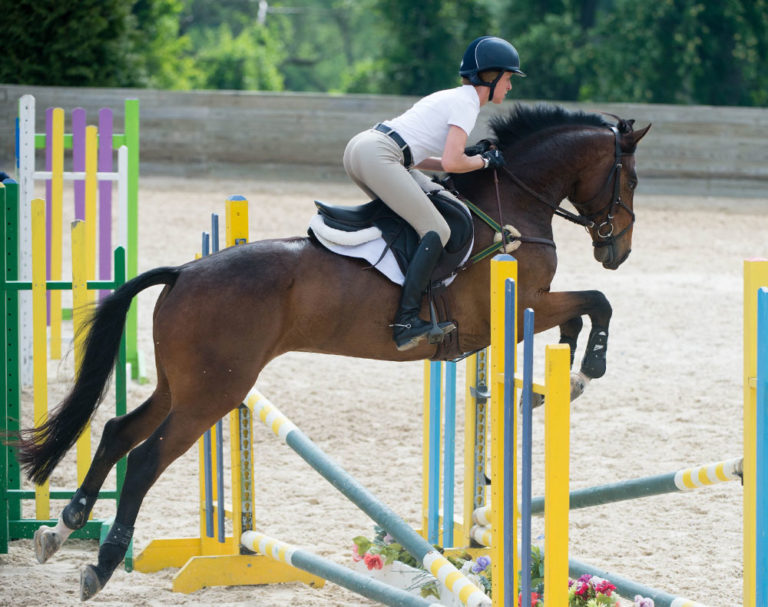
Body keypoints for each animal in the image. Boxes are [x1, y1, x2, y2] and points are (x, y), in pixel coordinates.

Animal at [16, 103, 650, 600]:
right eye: (633, 179)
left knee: (118, 431)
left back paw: (61, 529)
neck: (512, 205)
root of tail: (183, 273)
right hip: (215, 391)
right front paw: (587, 368)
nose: (617, 250)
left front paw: (562, 380)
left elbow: (584, 309)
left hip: (185, 384)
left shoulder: (523, 312)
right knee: (146, 458)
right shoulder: (512, 313)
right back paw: (100, 566)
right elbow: (596, 303)